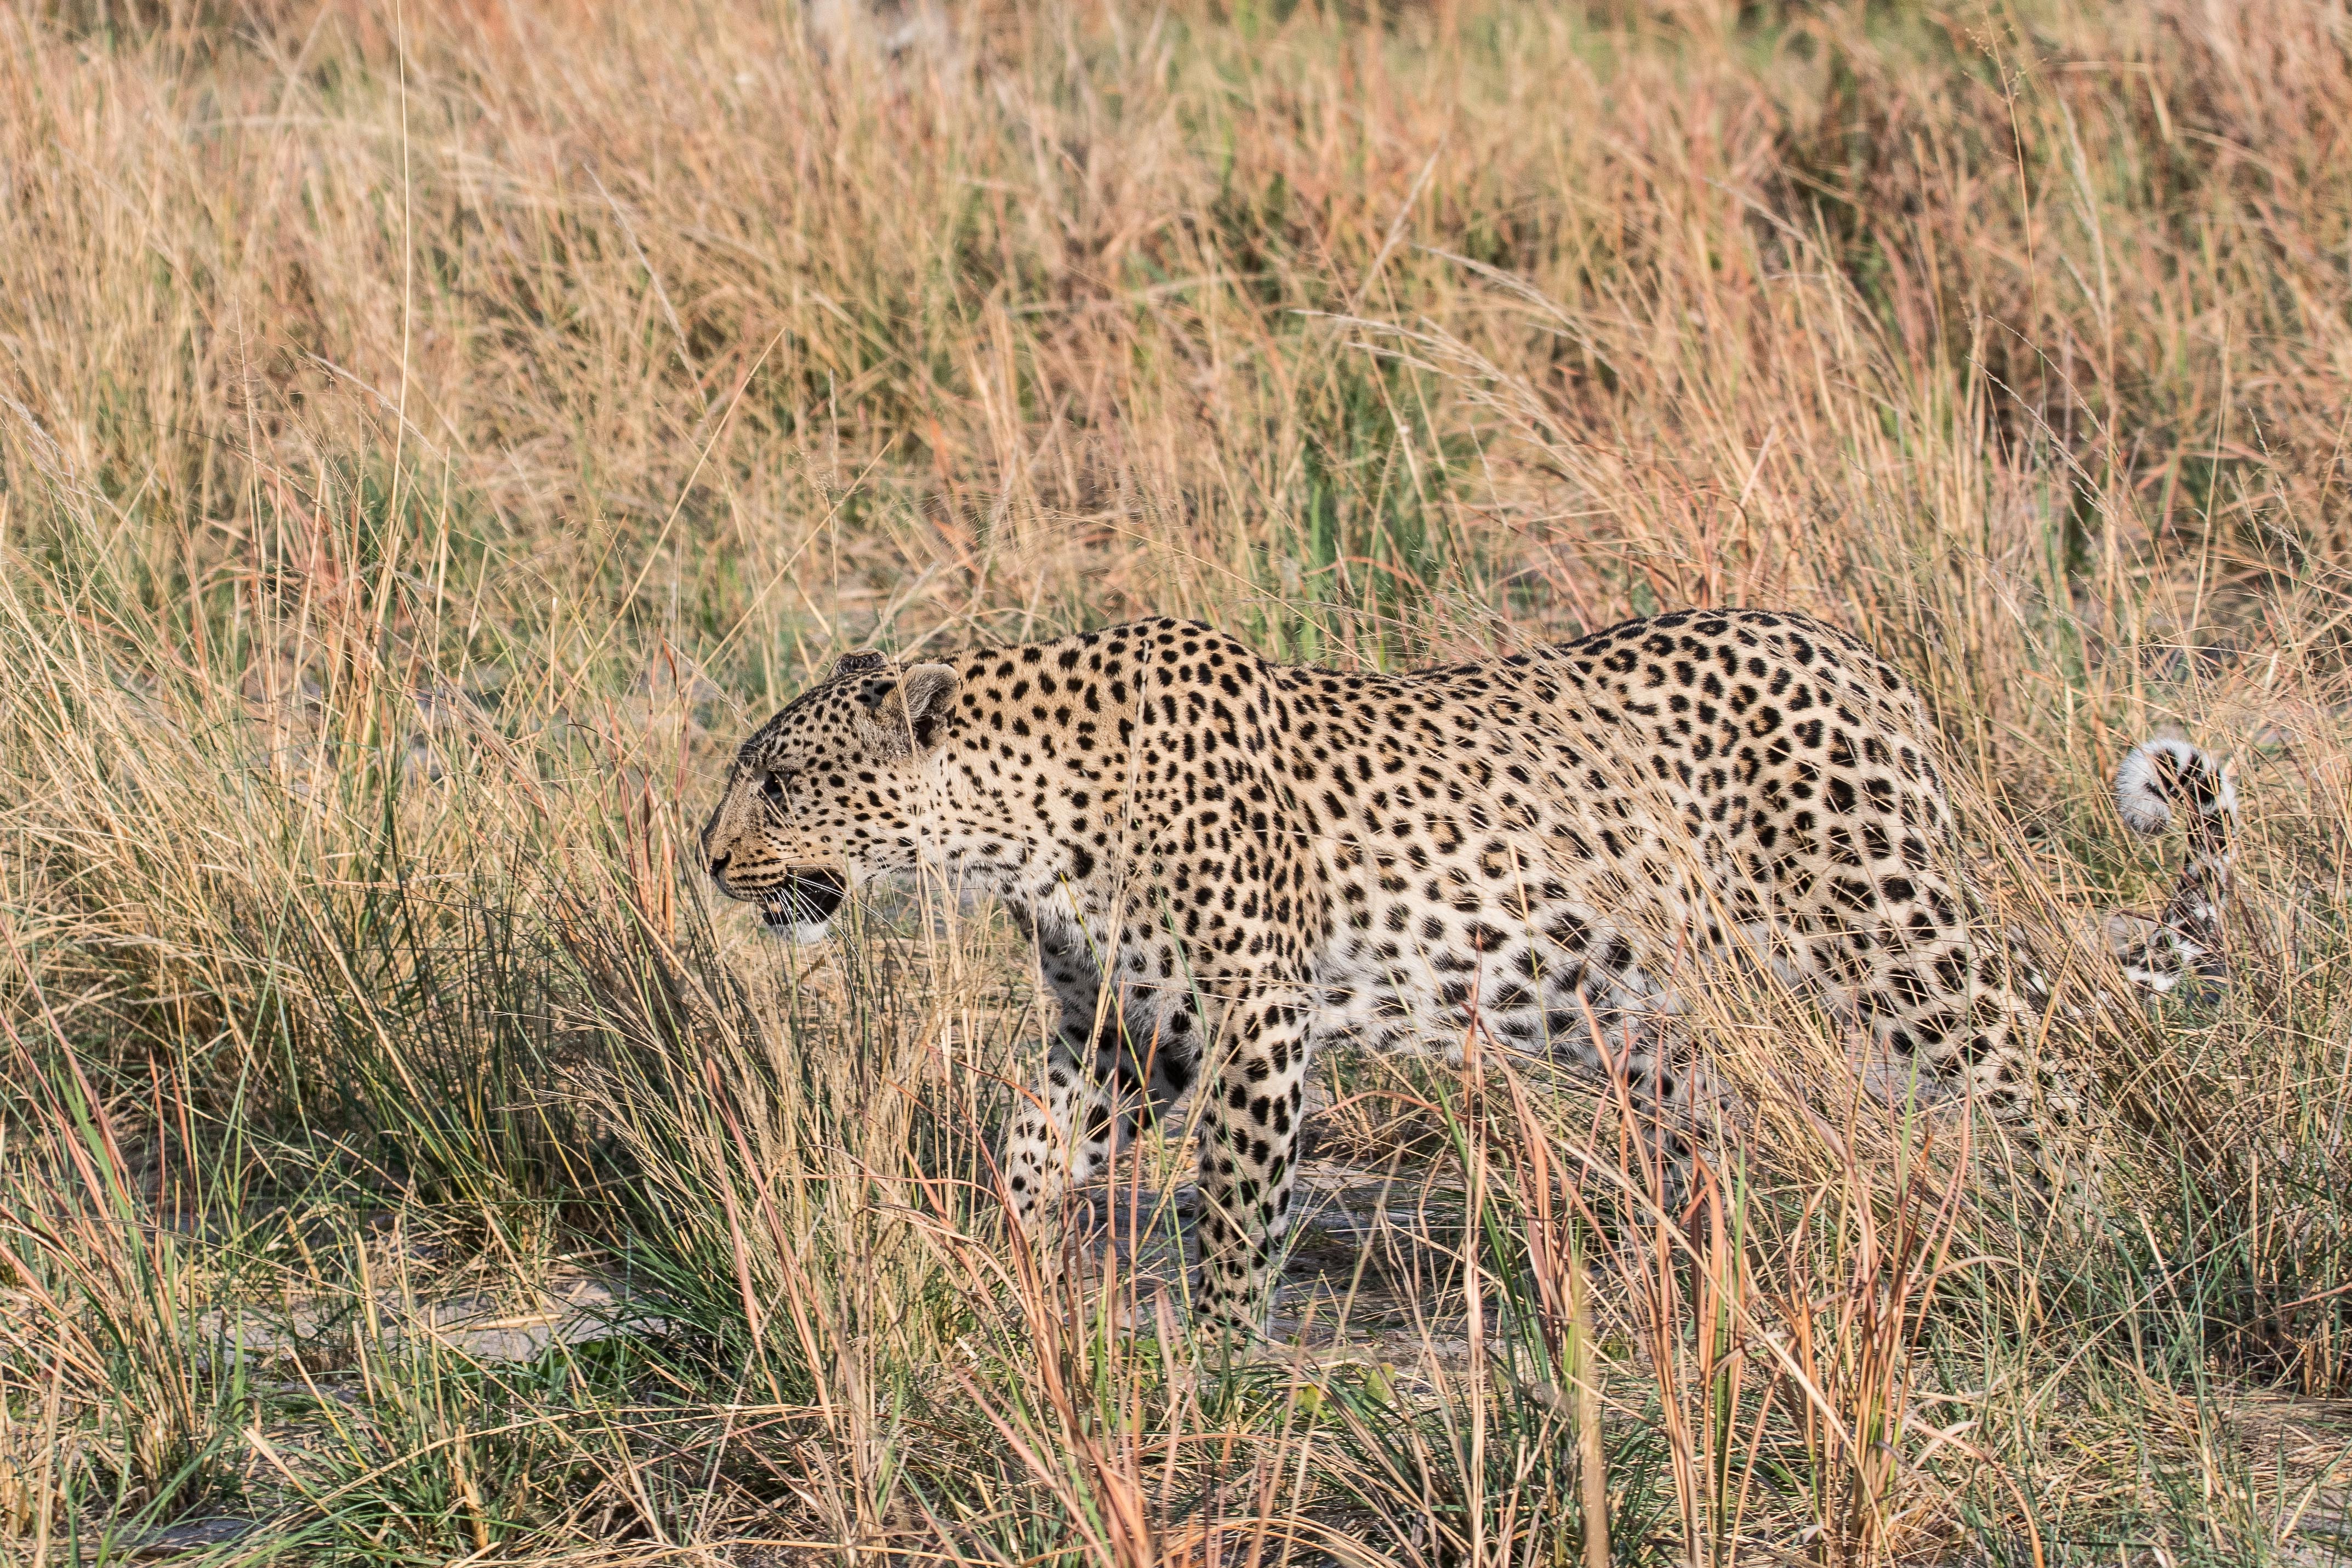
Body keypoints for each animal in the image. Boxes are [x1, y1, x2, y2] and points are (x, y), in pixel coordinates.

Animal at [696, 606, 2239, 1335]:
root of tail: (1860, 656)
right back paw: (1679, 1301)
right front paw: (997, 1268)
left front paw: (1217, 1364)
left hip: (1890, 933)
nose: (706, 858)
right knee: (1721, 1154)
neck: (1019, 823)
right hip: (1670, 1017)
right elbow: (1032, 1141)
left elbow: (1236, 1210)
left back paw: (2107, 1243)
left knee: (2043, 1062)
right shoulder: (1133, 1034)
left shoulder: (1253, 1017)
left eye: (776, 779)